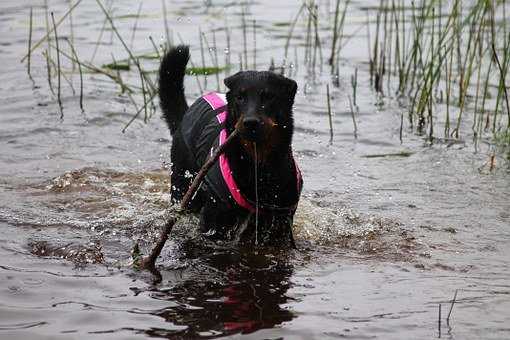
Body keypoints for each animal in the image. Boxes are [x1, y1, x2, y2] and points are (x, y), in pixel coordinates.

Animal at [158, 45, 302, 247]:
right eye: (240, 97)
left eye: (268, 97)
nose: (250, 122)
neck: (258, 165)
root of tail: (185, 115)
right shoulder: (214, 220)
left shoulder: (280, 221)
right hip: (184, 186)